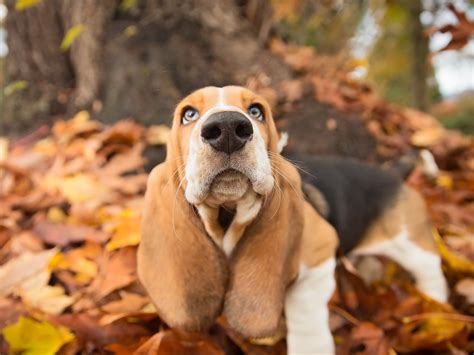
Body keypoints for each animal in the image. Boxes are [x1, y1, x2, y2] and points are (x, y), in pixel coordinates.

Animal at [138, 85, 448, 354]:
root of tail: (393, 174)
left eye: (256, 110)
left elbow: (304, 309)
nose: (227, 128)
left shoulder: (319, 254)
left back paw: (436, 311)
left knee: (432, 277)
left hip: (415, 248)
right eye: (188, 114)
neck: (228, 216)